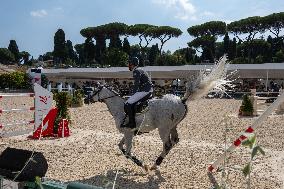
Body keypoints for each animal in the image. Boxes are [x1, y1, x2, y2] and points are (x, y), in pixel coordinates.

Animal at [92, 55, 230, 171]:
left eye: (92, 90)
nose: (87, 99)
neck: (119, 108)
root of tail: (181, 100)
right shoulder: (129, 133)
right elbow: (120, 147)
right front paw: (139, 163)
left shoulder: (128, 132)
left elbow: (127, 152)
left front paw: (142, 164)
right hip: (173, 126)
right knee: (174, 141)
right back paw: (157, 162)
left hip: (163, 128)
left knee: (167, 144)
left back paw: (154, 164)